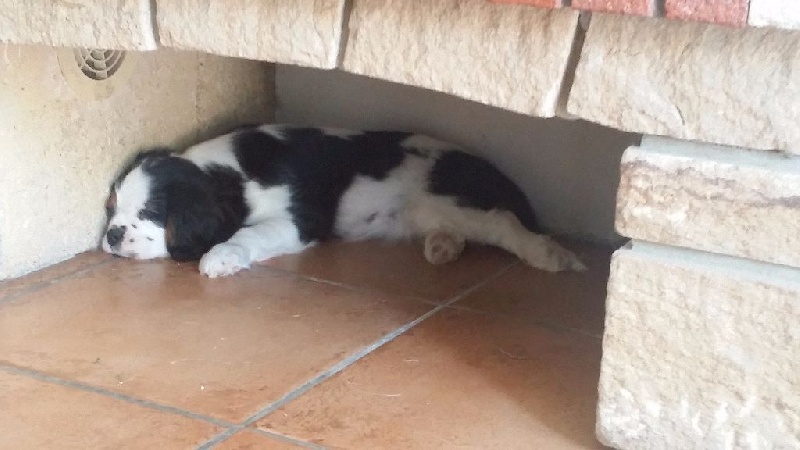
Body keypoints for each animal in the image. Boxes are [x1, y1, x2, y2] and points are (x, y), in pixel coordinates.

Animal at [101, 125, 586, 278]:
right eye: (111, 209)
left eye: (150, 214)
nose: (111, 235)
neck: (228, 175)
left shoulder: (299, 217)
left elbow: (248, 234)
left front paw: (221, 257)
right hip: (429, 210)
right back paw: (442, 247)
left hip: (449, 197)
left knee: (503, 223)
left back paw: (551, 255)